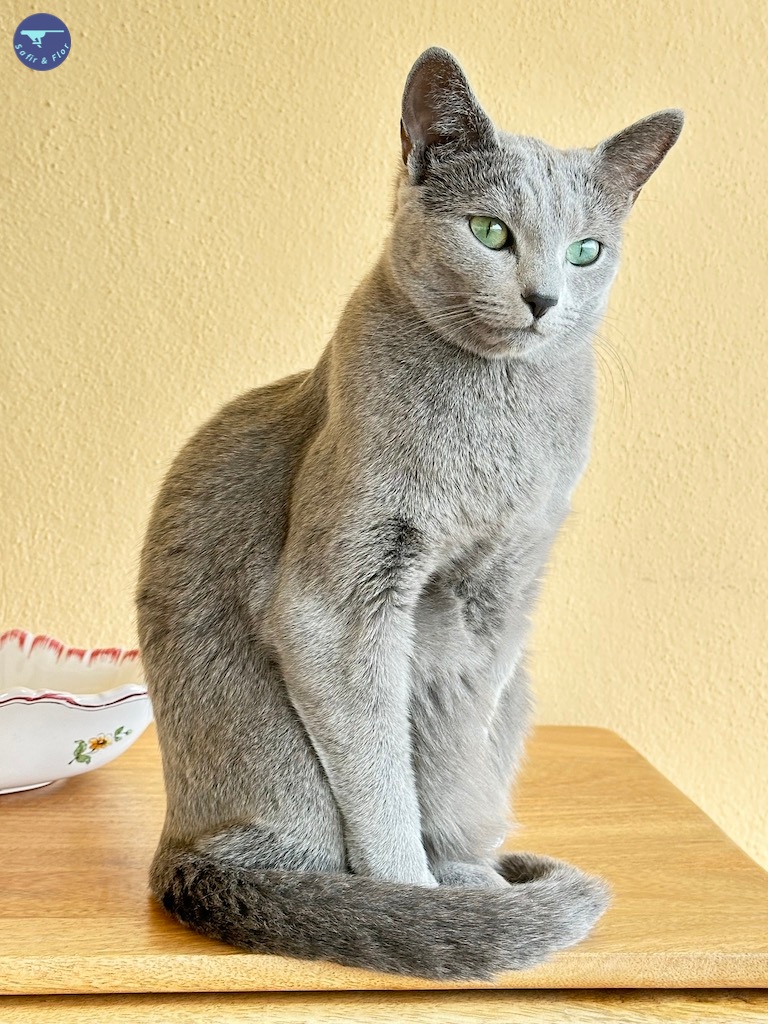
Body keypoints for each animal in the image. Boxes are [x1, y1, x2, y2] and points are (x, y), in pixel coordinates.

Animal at [136, 46, 683, 981]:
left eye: (587, 251)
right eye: (491, 232)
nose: (544, 298)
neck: (494, 423)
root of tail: (180, 842)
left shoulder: (495, 600)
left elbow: (449, 750)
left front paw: (463, 882)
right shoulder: (344, 596)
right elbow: (382, 769)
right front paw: (414, 895)